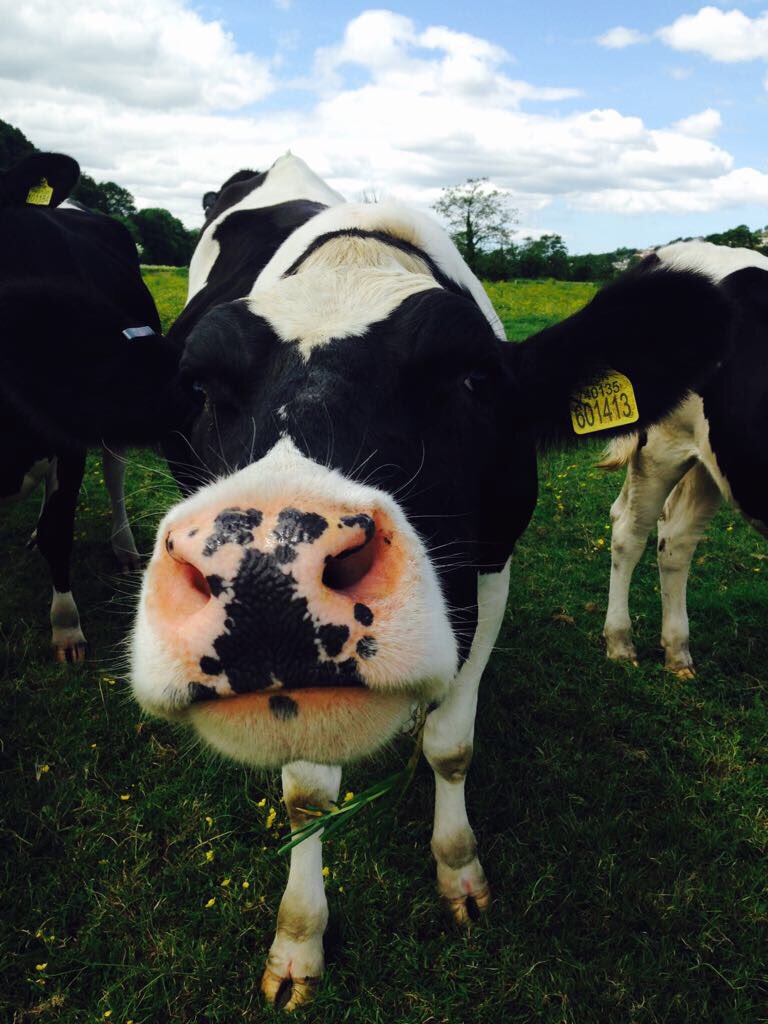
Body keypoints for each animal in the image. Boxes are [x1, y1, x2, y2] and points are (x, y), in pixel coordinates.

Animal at [113, 154, 731, 1009]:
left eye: (473, 380)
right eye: (200, 388)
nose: (267, 567)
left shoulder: (490, 565)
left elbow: (451, 746)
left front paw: (459, 870)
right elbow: (307, 795)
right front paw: (299, 941)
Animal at [602, 241, 767, 677]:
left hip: (716, 458)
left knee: (675, 540)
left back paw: (677, 652)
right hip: (661, 445)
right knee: (629, 532)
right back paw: (620, 643)